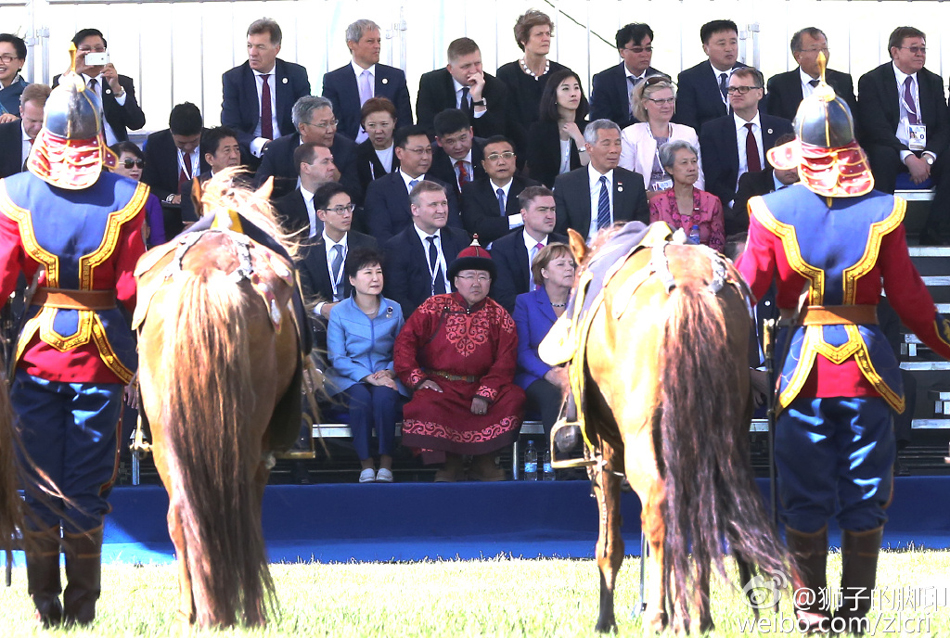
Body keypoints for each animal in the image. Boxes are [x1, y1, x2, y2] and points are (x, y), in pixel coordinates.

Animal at [132, 171, 304, 632]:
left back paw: (194, 612)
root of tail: (205, 270)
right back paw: (248, 609)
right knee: (238, 509)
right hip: (247, 430)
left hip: (166, 432)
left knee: (183, 513)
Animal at [560, 225, 792, 636]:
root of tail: (689, 287)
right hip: (719, 434)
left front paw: (608, 618)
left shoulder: (605, 451)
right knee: (708, 508)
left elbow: (610, 542)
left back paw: (658, 615)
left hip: (640, 441)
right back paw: (701, 615)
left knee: (658, 503)